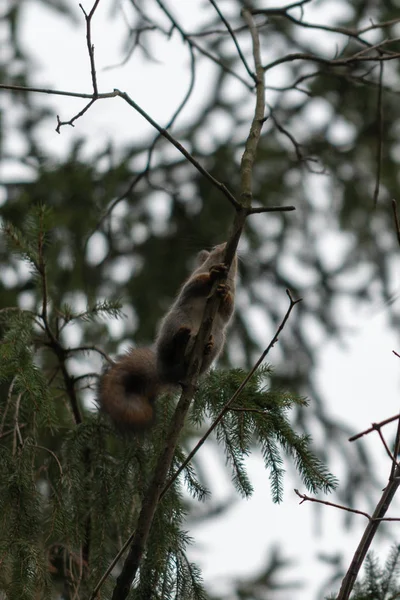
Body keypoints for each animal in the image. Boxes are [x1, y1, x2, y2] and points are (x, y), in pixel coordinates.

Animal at [97, 244, 238, 432]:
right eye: (215, 249)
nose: (226, 246)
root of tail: (164, 371)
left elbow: (228, 309)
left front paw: (225, 293)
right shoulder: (190, 285)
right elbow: (192, 285)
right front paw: (213, 274)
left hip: (217, 339)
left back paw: (205, 346)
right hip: (174, 322)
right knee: (172, 350)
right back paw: (180, 343)